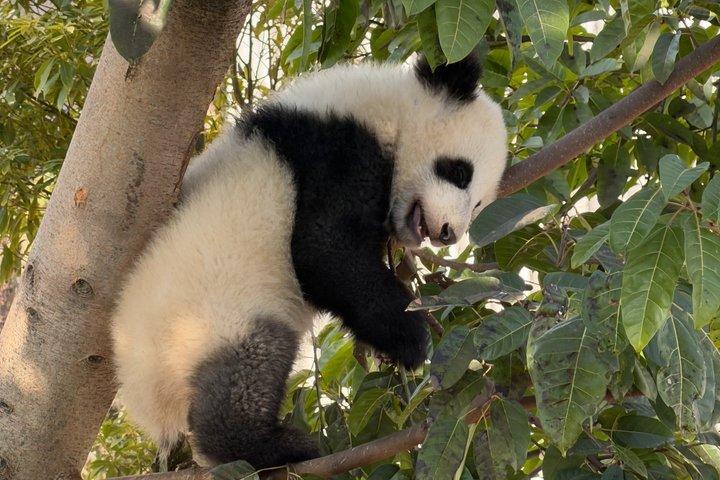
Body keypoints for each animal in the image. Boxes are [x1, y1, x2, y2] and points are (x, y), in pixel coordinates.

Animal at [110, 54, 507, 469]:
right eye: (459, 172)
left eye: (479, 205)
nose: (449, 233)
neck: (388, 108)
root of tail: (144, 394)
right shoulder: (336, 149)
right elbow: (324, 250)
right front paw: (411, 339)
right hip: (209, 316)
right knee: (246, 369)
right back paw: (270, 445)